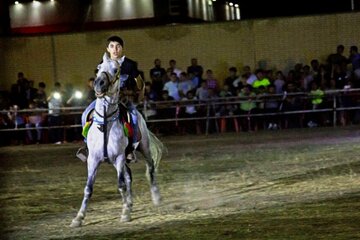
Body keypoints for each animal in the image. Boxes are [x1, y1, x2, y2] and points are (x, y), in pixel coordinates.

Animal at [70, 52, 163, 227]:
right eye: (99, 67)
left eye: (116, 70)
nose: (99, 84)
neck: (106, 124)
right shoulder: (93, 160)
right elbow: (88, 188)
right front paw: (79, 217)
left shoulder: (119, 157)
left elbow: (121, 185)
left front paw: (125, 213)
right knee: (129, 176)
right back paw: (130, 203)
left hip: (144, 149)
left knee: (150, 169)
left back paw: (155, 197)